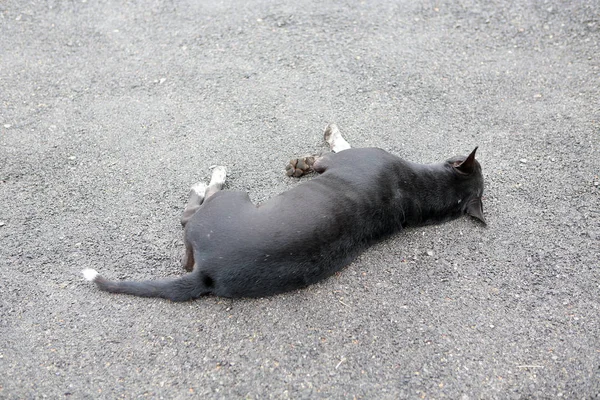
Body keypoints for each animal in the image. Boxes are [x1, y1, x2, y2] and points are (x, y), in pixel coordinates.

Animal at [82, 124, 486, 300]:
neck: (420, 190)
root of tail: (208, 273)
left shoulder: (339, 159)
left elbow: (337, 145)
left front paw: (329, 136)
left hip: (231, 201)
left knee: (191, 211)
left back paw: (211, 179)